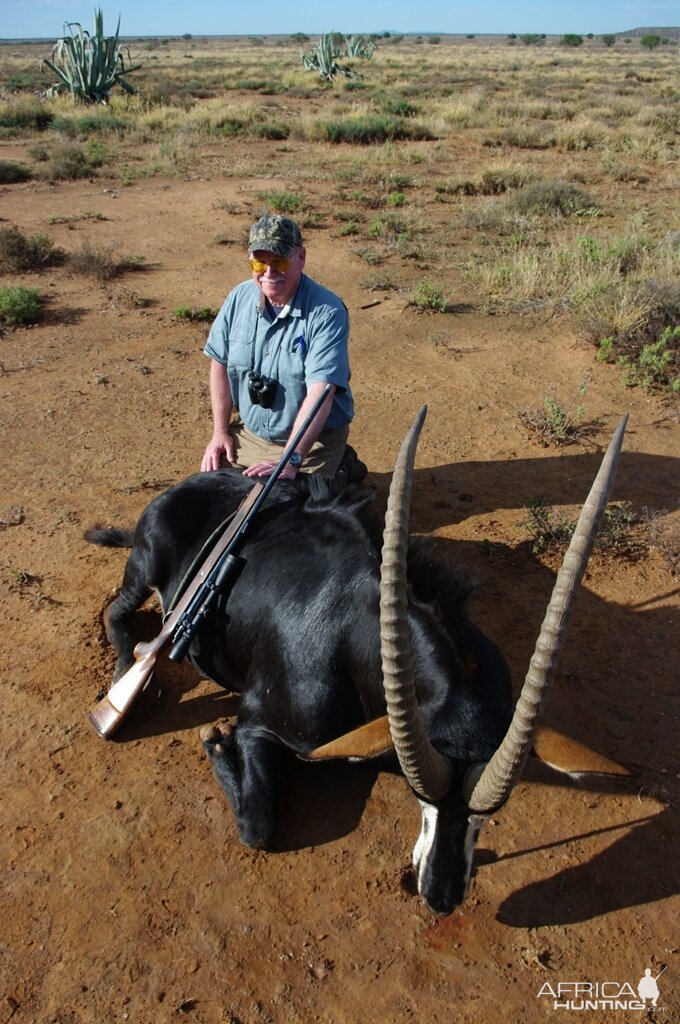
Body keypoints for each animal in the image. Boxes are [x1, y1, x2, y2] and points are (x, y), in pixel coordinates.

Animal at [86, 405, 630, 913]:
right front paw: (215, 741)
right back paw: (125, 687)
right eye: (421, 798)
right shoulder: (260, 725)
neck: (353, 634)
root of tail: (181, 488)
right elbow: (259, 827)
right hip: (145, 568)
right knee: (117, 618)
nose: (441, 897)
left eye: (486, 816)